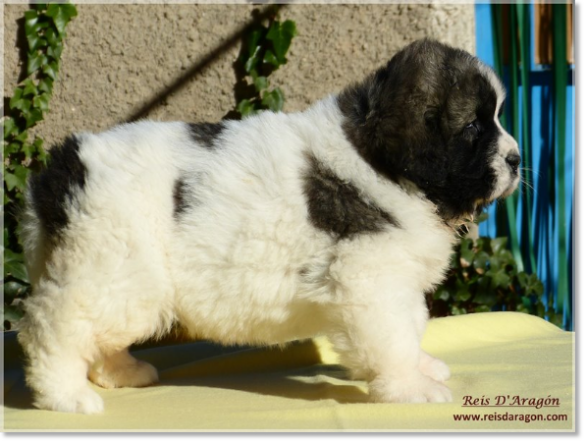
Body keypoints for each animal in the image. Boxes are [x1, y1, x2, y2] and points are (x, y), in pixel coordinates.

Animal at [16, 40, 516, 414]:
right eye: (474, 125)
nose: (515, 159)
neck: (379, 160)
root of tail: (61, 168)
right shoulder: (370, 279)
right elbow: (392, 336)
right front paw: (411, 387)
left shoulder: (399, 275)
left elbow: (412, 326)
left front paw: (422, 366)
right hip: (117, 268)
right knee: (55, 326)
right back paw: (65, 395)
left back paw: (120, 372)